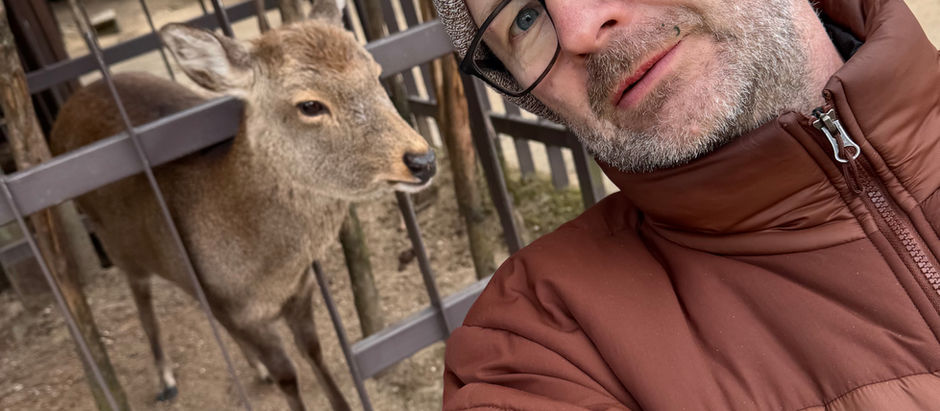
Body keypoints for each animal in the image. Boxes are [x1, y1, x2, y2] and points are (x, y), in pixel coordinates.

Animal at [48, 2, 435, 410]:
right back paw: (166, 380)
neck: (262, 276)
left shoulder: (299, 291)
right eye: (309, 105)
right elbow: (288, 375)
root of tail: (64, 111)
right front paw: (277, 376)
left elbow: (314, 353)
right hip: (117, 245)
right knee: (143, 302)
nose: (423, 160)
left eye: (375, 72)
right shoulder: (237, 309)